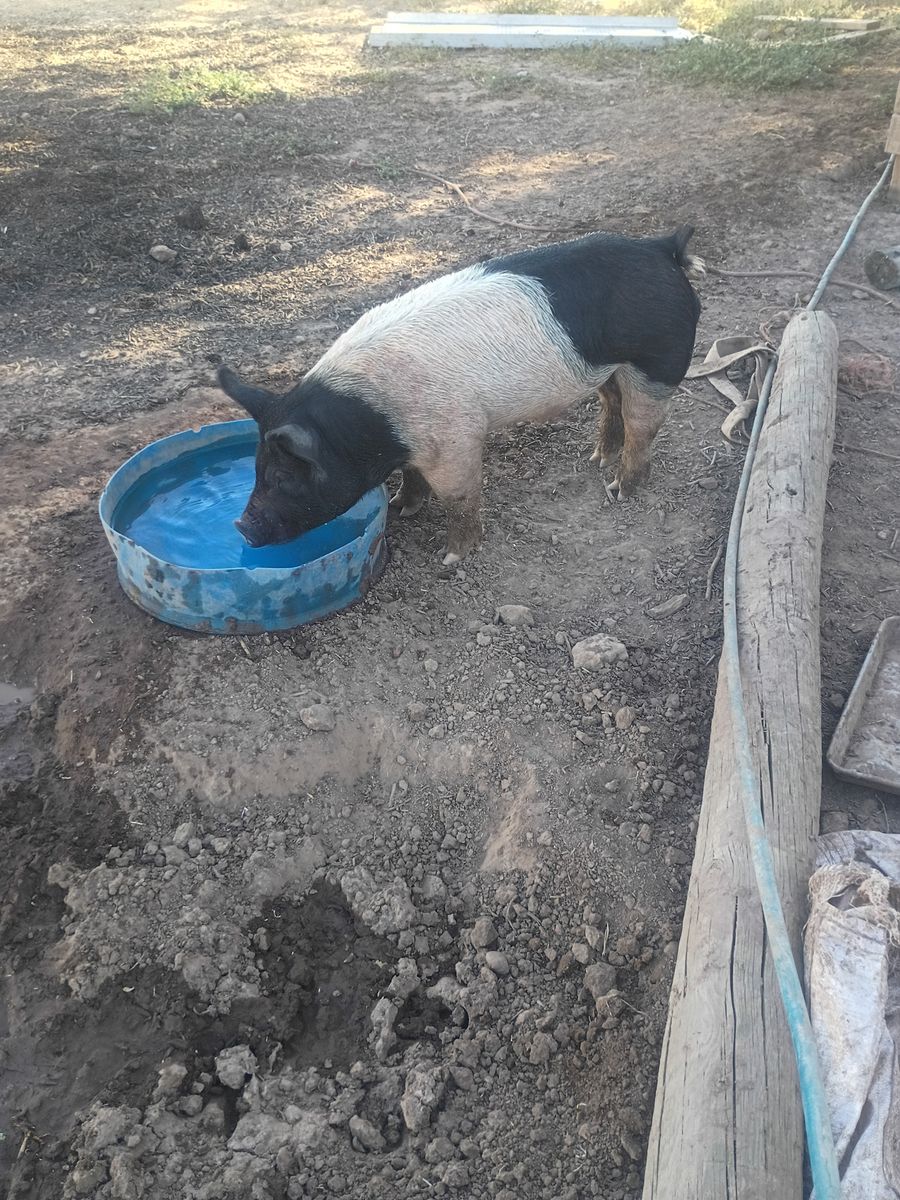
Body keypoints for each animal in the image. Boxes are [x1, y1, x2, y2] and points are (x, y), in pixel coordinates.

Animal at [218, 226, 703, 566]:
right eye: (255, 468)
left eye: (283, 477)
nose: (240, 526)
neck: (372, 422)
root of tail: (662, 247)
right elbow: (412, 479)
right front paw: (399, 508)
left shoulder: (455, 438)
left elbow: (459, 498)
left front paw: (451, 558)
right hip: (608, 364)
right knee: (611, 401)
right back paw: (597, 459)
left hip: (659, 360)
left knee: (644, 426)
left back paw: (619, 489)